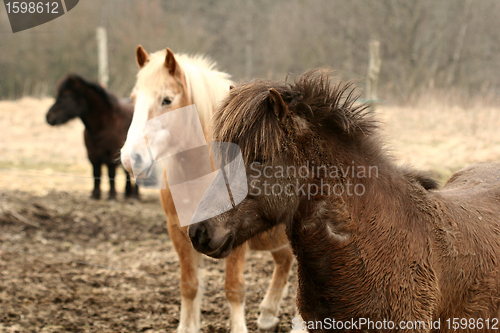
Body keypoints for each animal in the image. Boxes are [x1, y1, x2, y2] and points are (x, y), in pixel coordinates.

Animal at [119, 47, 294, 332]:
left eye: (167, 100)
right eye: (134, 99)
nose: (130, 158)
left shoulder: (234, 235)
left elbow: (234, 288)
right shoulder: (179, 232)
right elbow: (189, 285)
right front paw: (187, 327)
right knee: (285, 261)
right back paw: (268, 315)